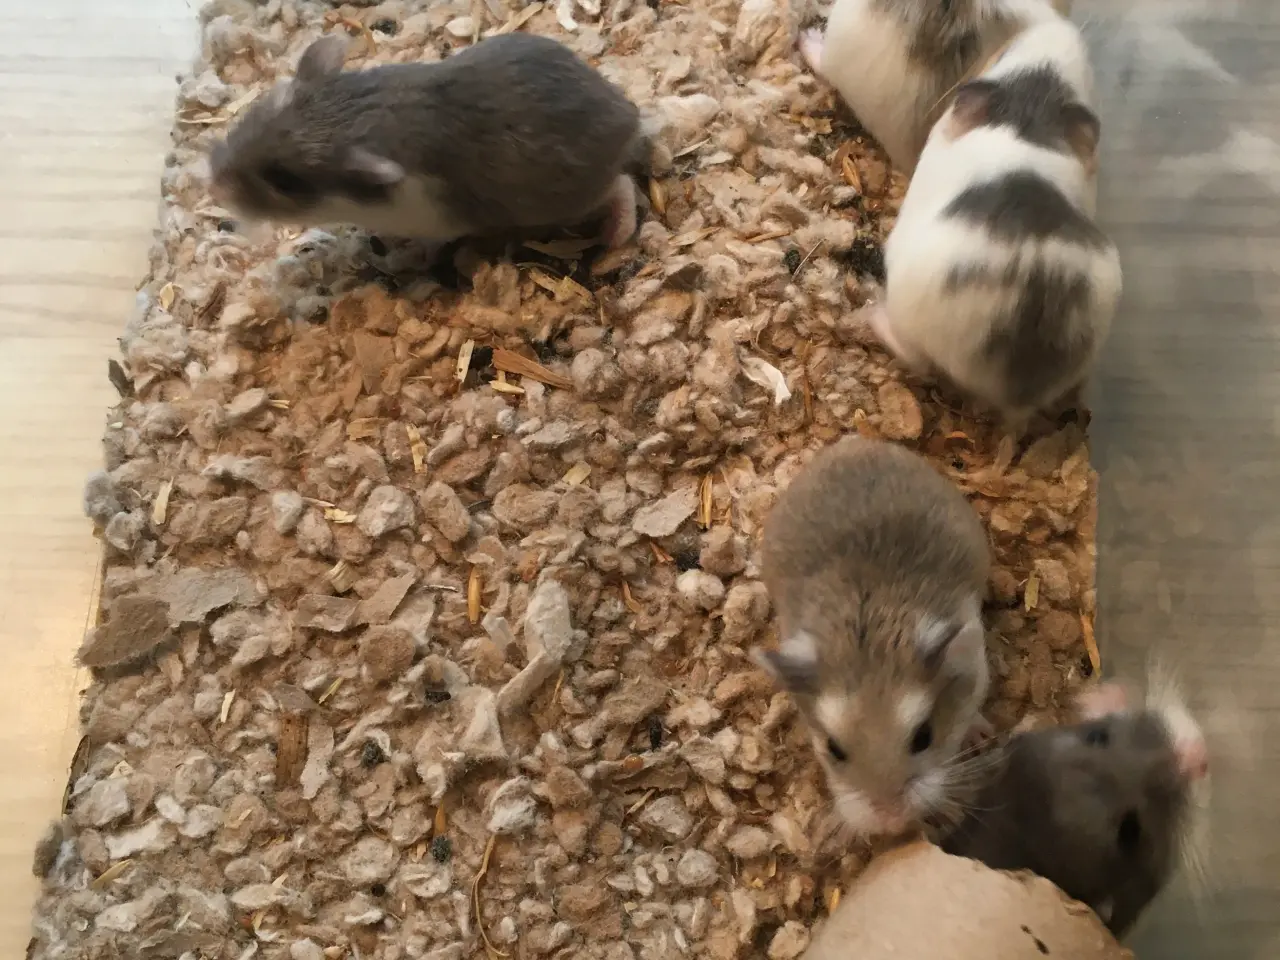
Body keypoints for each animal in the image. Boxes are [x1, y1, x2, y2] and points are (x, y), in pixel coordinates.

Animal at [208, 32, 648, 250]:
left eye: (284, 180)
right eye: (267, 105)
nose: (214, 187)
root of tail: (628, 112)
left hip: (567, 199)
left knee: (623, 186)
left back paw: (614, 238)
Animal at [755, 436, 992, 838]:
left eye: (924, 736)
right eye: (833, 749)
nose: (892, 820)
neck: (870, 646)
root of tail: (855, 442)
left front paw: (982, 735)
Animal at [872, 15, 1122, 430]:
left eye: (1002, 53)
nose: (1061, 26)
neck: (1028, 114)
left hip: (910, 315)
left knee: (917, 359)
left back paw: (870, 312)